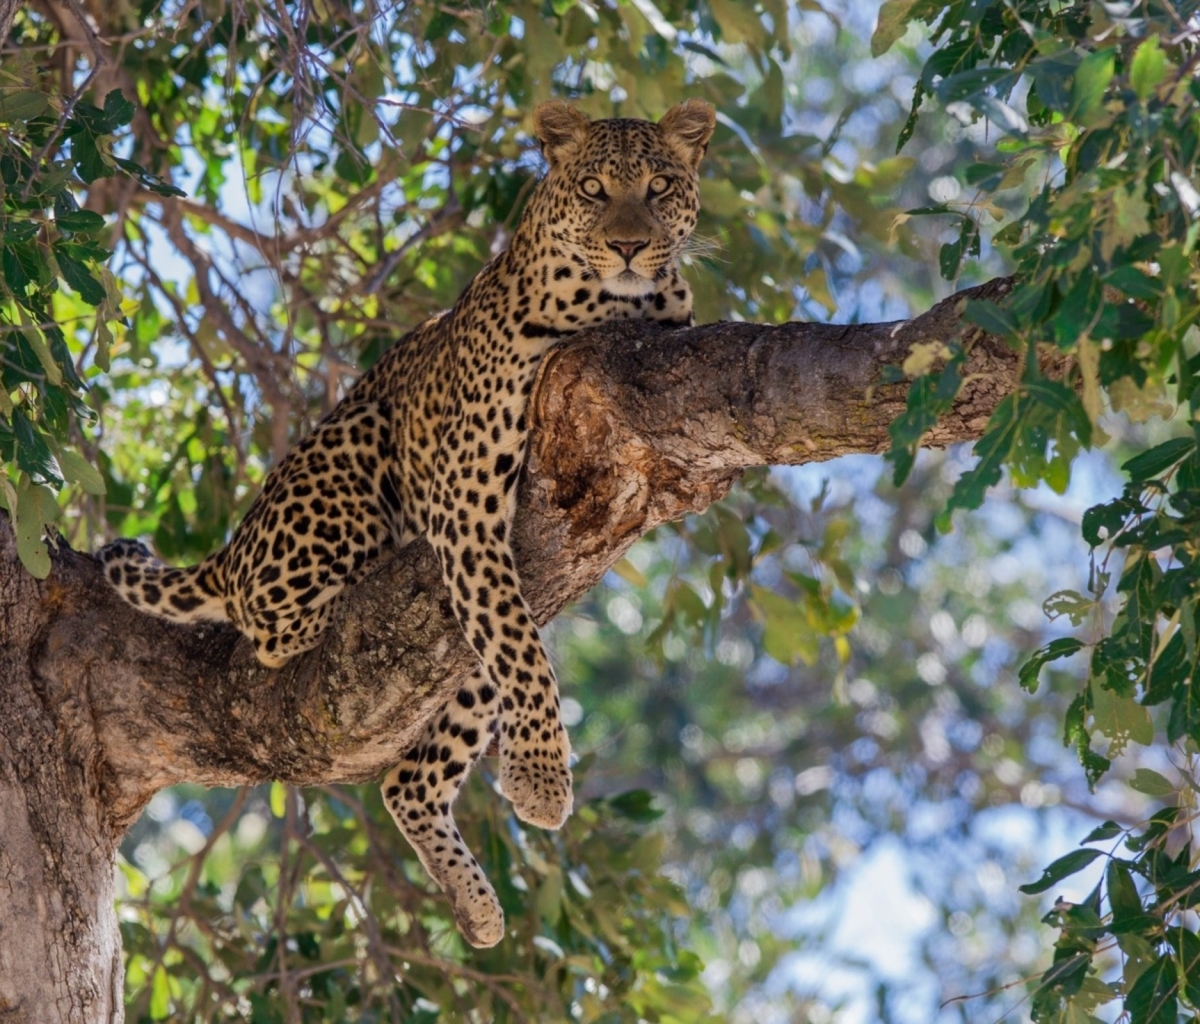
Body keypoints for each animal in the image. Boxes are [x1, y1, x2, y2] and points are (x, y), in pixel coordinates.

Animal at [98, 99, 715, 945]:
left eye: (658, 188)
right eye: (594, 189)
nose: (628, 245)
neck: (619, 305)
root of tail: (233, 545)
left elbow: (519, 651)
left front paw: (532, 779)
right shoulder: (465, 502)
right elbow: (527, 657)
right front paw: (542, 779)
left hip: (463, 654)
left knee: (410, 778)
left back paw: (475, 905)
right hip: (352, 460)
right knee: (272, 628)